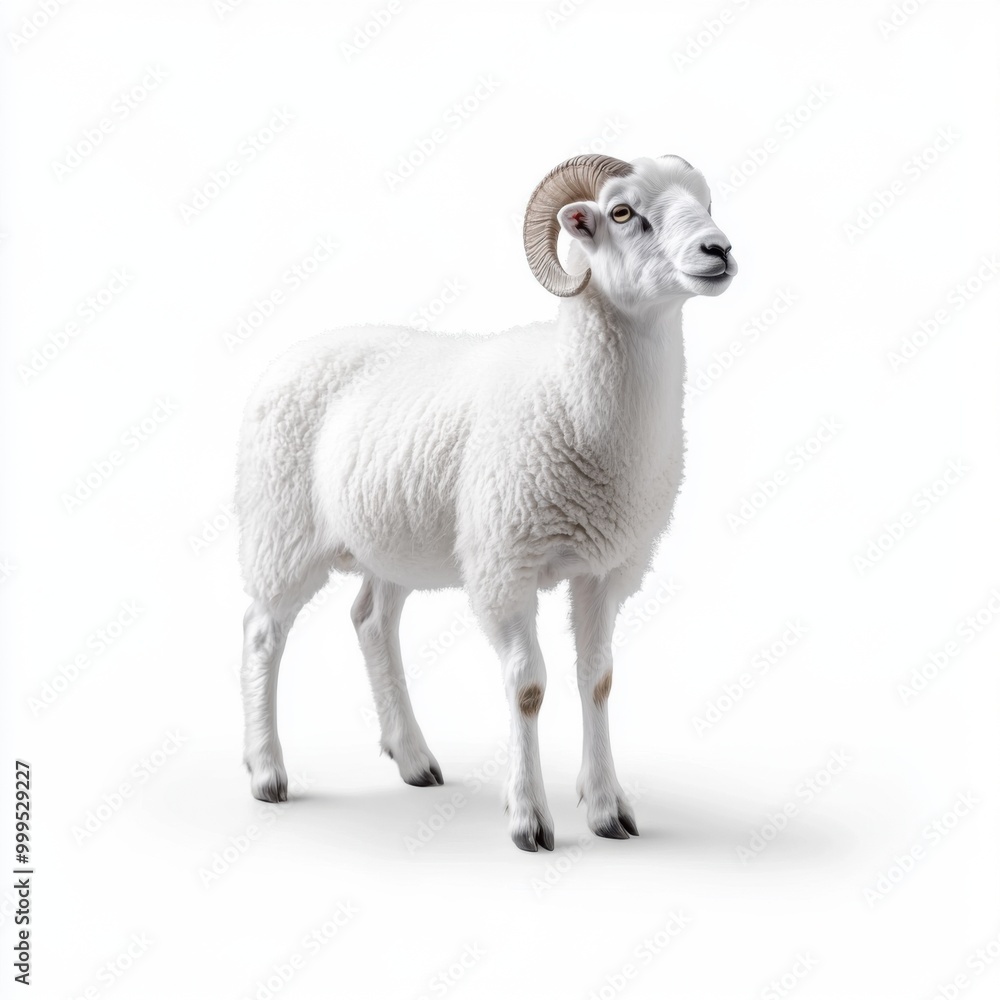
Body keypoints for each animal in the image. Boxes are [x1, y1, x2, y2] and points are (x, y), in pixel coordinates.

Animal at [236, 153, 737, 851]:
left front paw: (607, 807)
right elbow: (527, 686)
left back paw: (414, 758)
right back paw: (266, 771)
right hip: (280, 530)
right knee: (262, 632)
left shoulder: (607, 570)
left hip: (392, 542)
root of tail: (288, 355)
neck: (569, 392)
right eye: (622, 212)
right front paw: (529, 819)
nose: (719, 250)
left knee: (371, 621)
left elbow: (598, 680)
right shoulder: (505, 566)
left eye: (706, 202)